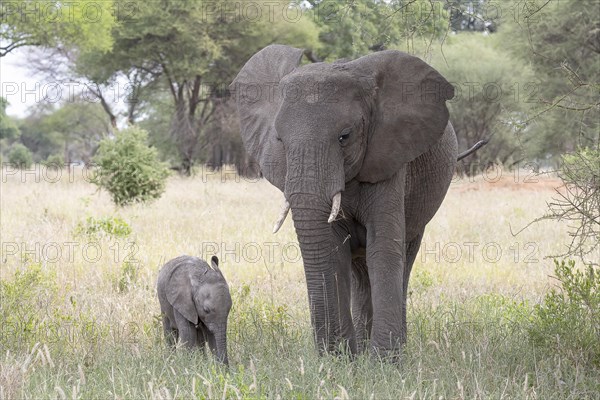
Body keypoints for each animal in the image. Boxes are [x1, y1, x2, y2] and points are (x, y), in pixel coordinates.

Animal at [230, 44, 474, 360]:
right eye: (280, 140)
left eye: (344, 137)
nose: (327, 352)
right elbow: (333, 252)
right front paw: (343, 359)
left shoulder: (391, 157)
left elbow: (383, 248)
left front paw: (384, 362)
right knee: (359, 273)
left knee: (403, 258)